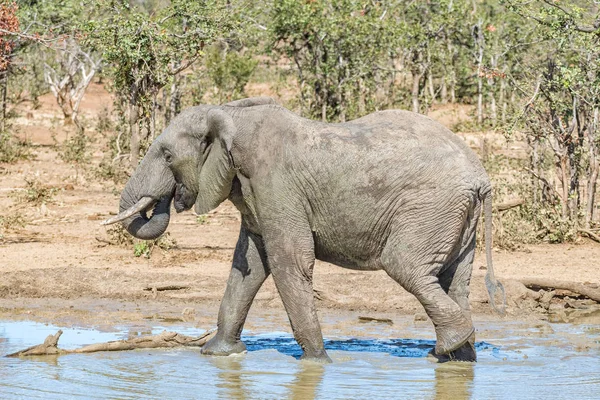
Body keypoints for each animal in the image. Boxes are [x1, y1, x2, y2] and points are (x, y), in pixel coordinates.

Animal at [104, 96, 506, 362]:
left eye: (167, 155)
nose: (167, 198)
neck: (232, 115)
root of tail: (481, 178)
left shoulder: (276, 184)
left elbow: (289, 261)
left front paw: (316, 363)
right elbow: (250, 265)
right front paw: (217, 354)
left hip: (429, 208)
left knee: (407, 267)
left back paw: (448, 347)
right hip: (456, 218)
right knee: (455, 280)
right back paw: (457, 360)